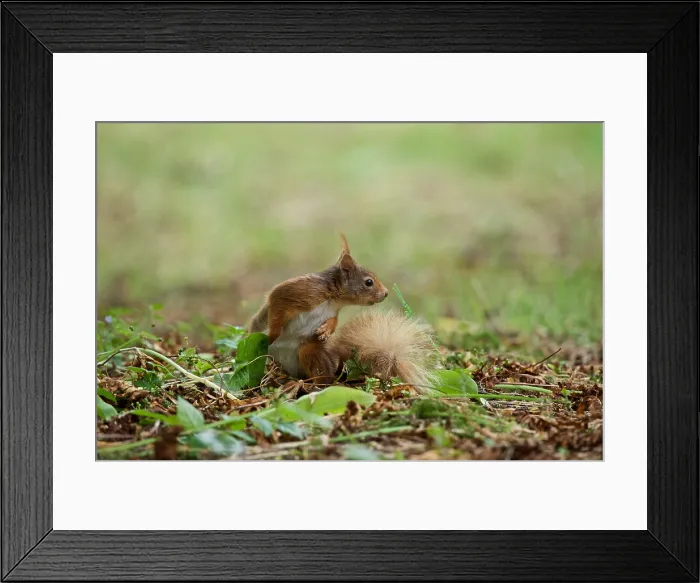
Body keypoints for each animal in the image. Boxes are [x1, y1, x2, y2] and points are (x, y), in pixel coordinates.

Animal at [248, 234, 437, 392]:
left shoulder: (333, 312)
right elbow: (276, 308)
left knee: (324, 377)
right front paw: (273, 333)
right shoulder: (295, 293)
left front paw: (325, 331)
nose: (385, 293)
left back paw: (304, 384)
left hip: (309, 350)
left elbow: (334, 322)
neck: (331, 298)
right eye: (369, 282)